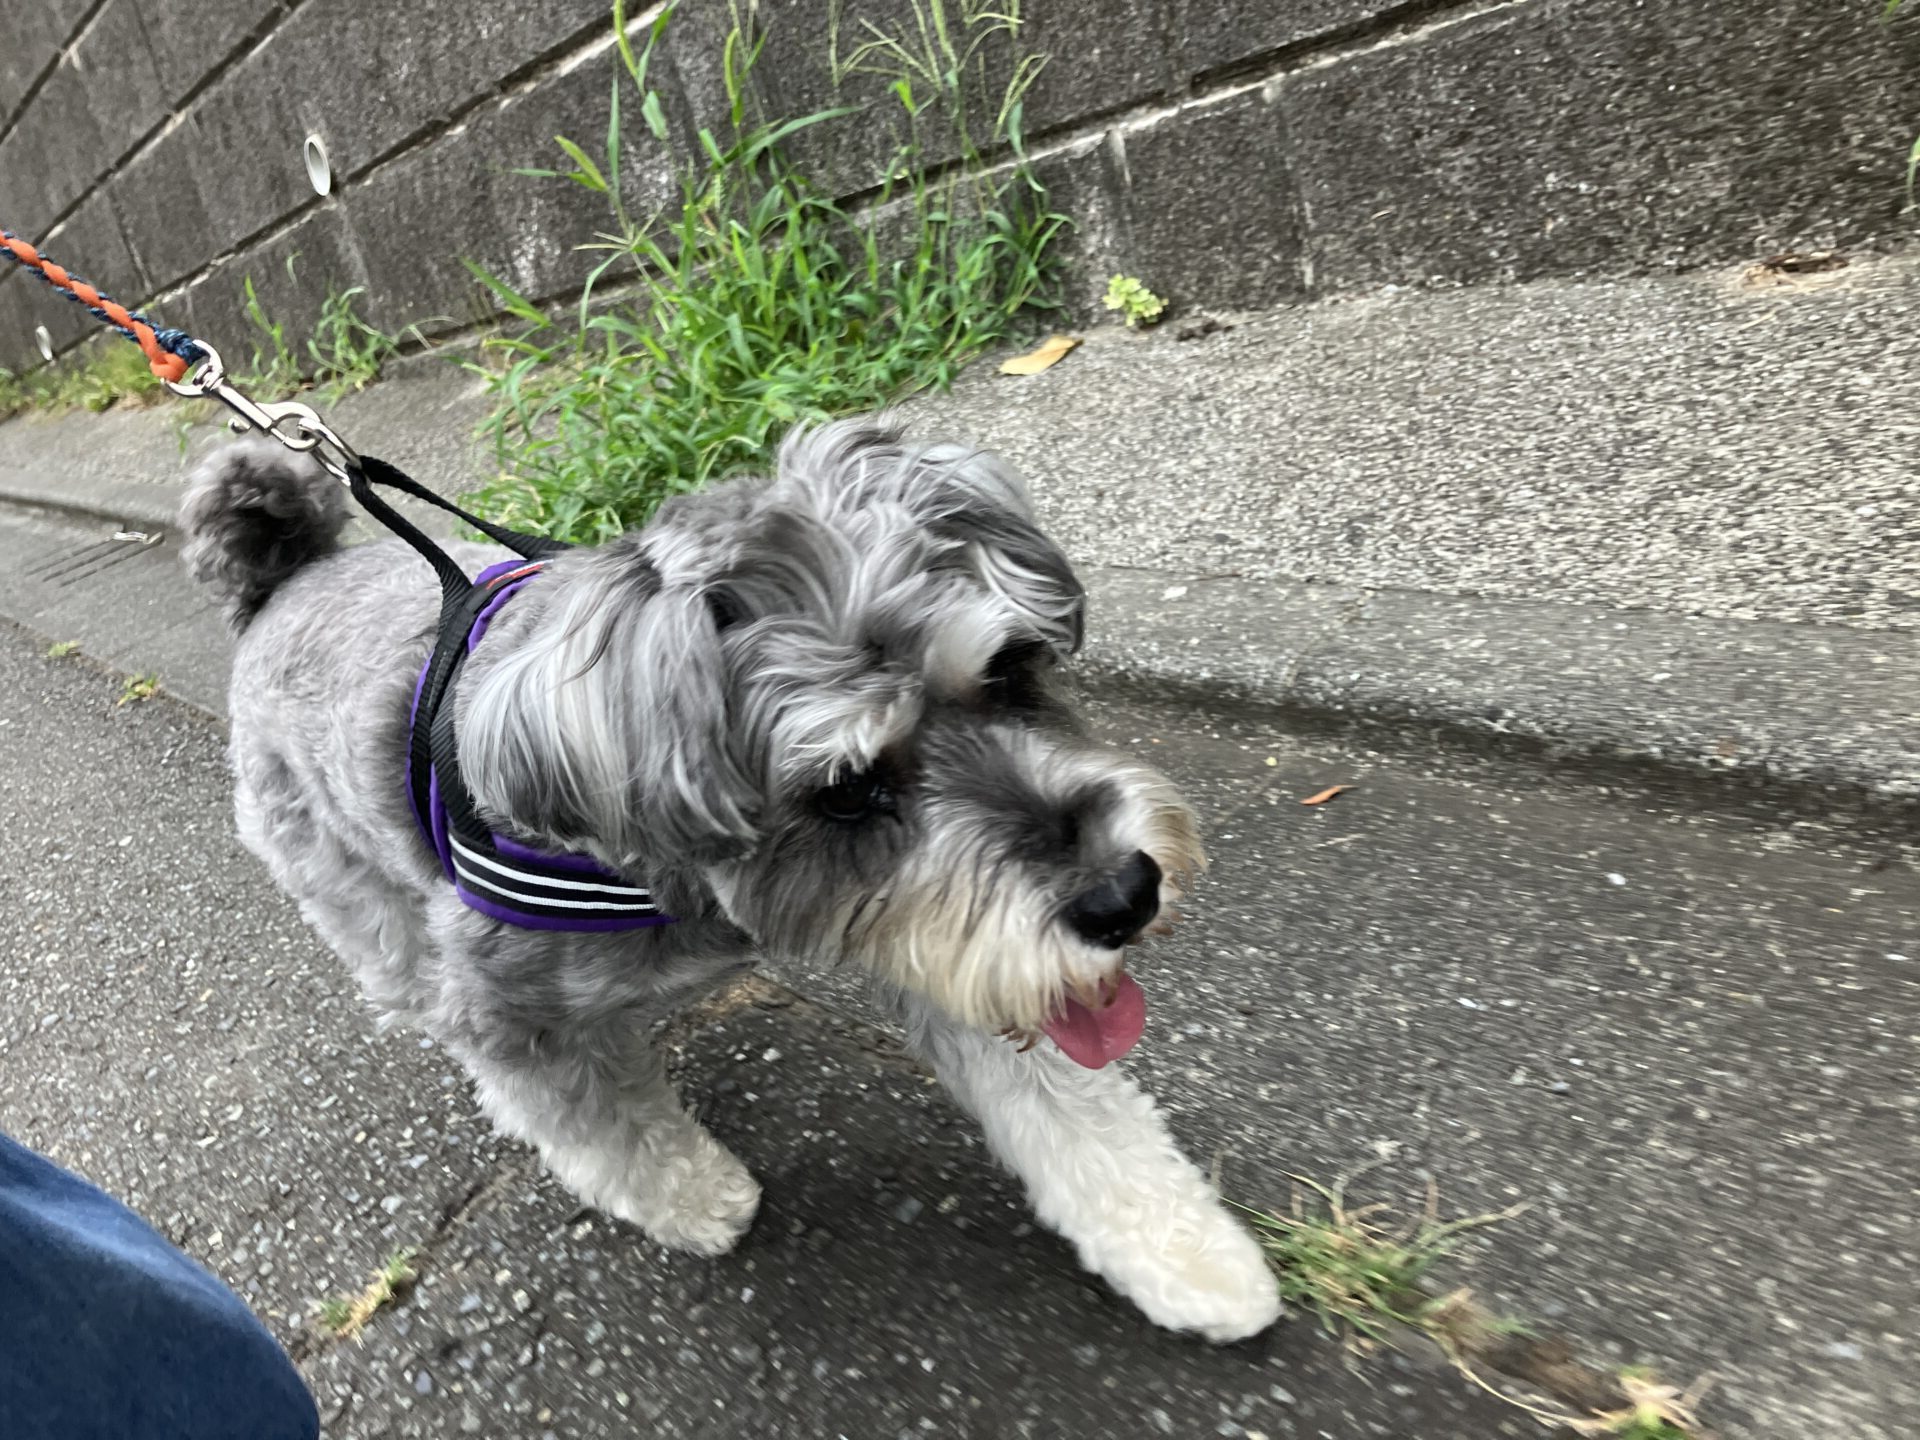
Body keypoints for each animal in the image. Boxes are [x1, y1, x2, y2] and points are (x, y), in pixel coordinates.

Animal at [179, 419, 1282, 1342]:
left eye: (1009, 670)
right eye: (847, 789)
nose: (1124, 896)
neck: (675, 867)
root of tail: (285, 584)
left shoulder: (964, 940)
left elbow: (1068, 1105)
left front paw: (1187, 1253)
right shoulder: (510, 1014)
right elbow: (605, 1126)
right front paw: (693, 1197)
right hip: (335, 870)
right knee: (397, 963)